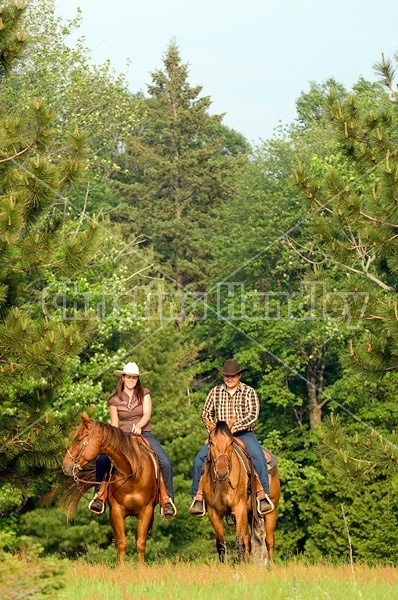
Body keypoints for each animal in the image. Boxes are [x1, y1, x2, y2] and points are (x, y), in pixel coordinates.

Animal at [61, 410, 158, 564]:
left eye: (78, 439)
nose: (65, 466)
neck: (131, 473)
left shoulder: (146, 510)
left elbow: (141, 543)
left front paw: (141, 568)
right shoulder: (116, 511)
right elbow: (122, 543)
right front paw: (121, 567)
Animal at [202, 420, 280, 564]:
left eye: (231, 443)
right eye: (211, 442)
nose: (222, 472)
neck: (223, 485)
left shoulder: (239, 509)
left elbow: (239, 542)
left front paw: (239, 565)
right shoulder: (214, 513)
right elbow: (221, 545)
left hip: (270, 511)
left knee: (269, 541)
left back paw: (271, 566)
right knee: (248, 540)